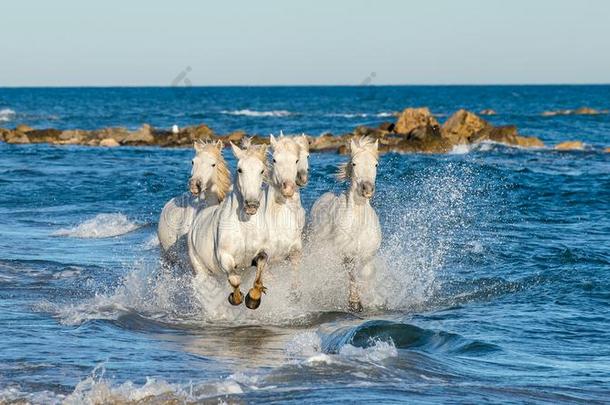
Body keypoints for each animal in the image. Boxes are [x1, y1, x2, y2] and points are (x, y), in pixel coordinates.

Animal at [188, 140, 268, 308]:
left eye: (262, 170)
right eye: (240, 169)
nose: (251, 205)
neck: (245, 226)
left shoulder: (258, 254)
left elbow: (261, 265)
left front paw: (253, 298)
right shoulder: (224, 257)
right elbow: (234, 279)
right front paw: (236, 298)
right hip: (201, 267)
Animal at [308, 136, 380, 310]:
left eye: (375, 164)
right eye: (354, 163)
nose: (367, 189)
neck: (358, 224)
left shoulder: (368, 254)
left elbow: (366, 273)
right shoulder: (345, 254)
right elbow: (351, 274)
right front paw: (354, 302)